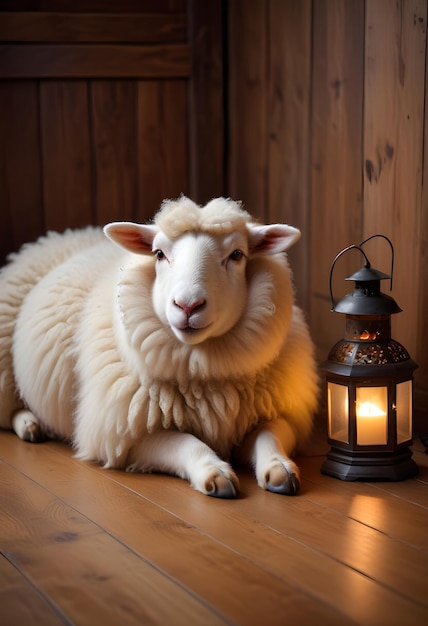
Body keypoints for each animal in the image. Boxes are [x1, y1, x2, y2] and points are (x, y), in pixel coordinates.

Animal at [0, 196, 318, 498]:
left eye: (237, 254)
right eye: (159, 254)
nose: (188, 305)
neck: (205, 377)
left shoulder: (282, 413)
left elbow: (270, 435)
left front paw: (279, 469)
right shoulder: (125, 438)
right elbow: (186, 443)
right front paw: (214, 473)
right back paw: (29, 424)